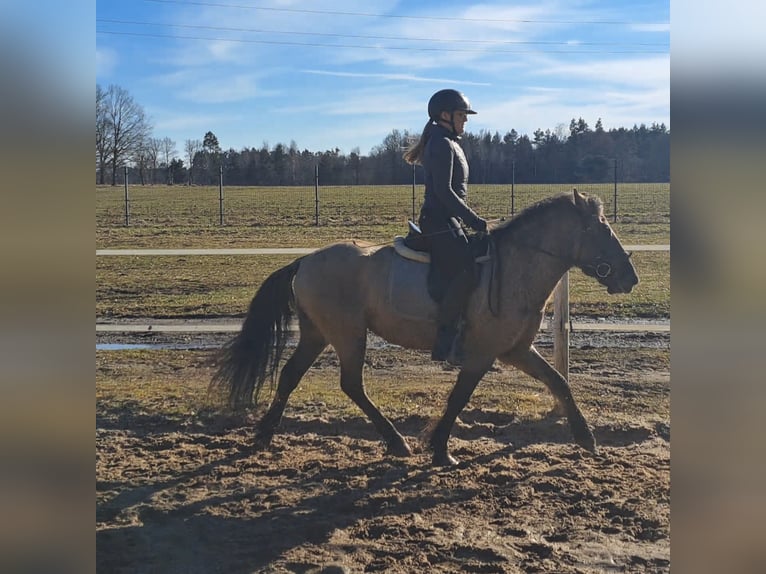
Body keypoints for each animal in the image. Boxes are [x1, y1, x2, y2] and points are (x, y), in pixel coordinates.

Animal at [210, 189, 638, 466]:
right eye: (602, 230)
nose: (629, 277)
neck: (518, 265)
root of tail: (306, 260)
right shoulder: (483, 353)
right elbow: (459, 397)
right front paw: (440, 449)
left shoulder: (515, 350)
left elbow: (558, 381)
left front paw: (586, 438)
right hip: (347, 334)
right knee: (351, 384)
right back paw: (396, 441)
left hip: (319, 334)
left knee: (291, 375)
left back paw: (265, 434)